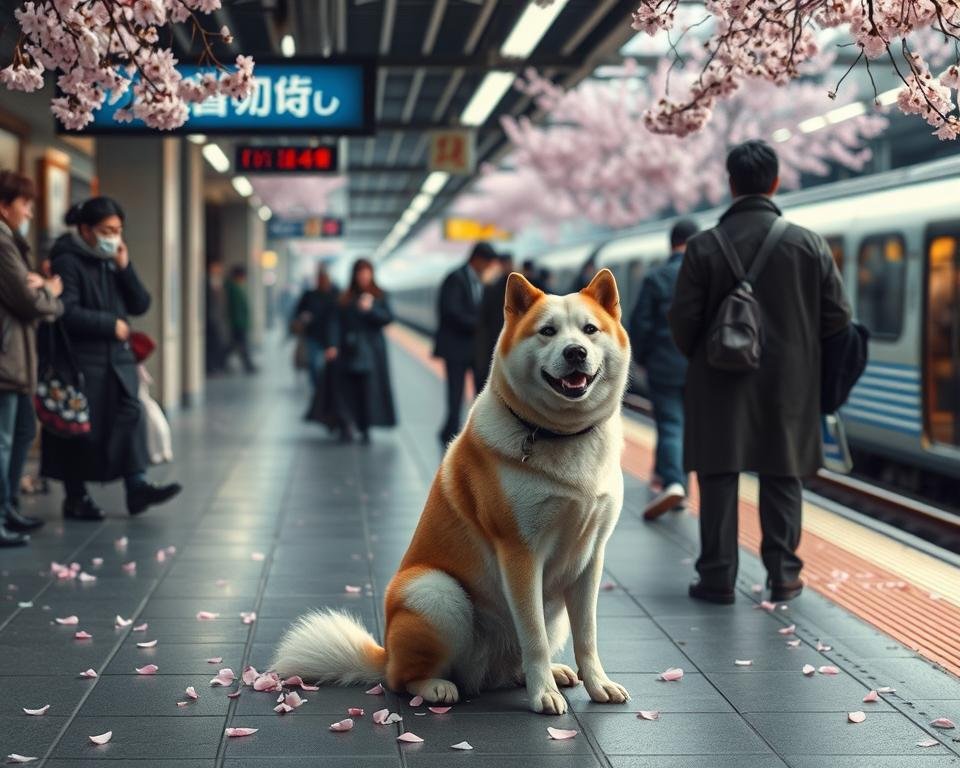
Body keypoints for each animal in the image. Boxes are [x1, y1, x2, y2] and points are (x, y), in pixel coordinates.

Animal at [272, 268, 632, 712]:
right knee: (402, 679)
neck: (560, 436)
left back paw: (552, 672)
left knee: (519, 659)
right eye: (547, 331)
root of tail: (384, 652)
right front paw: (543, 694)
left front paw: (597, 684)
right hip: (437, 594)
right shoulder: (520, 553)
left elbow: (588, 635)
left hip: (548, 613)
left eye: (590, 330)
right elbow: (533, 636)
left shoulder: (591, 555)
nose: (576, 352)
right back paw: (438, 687)